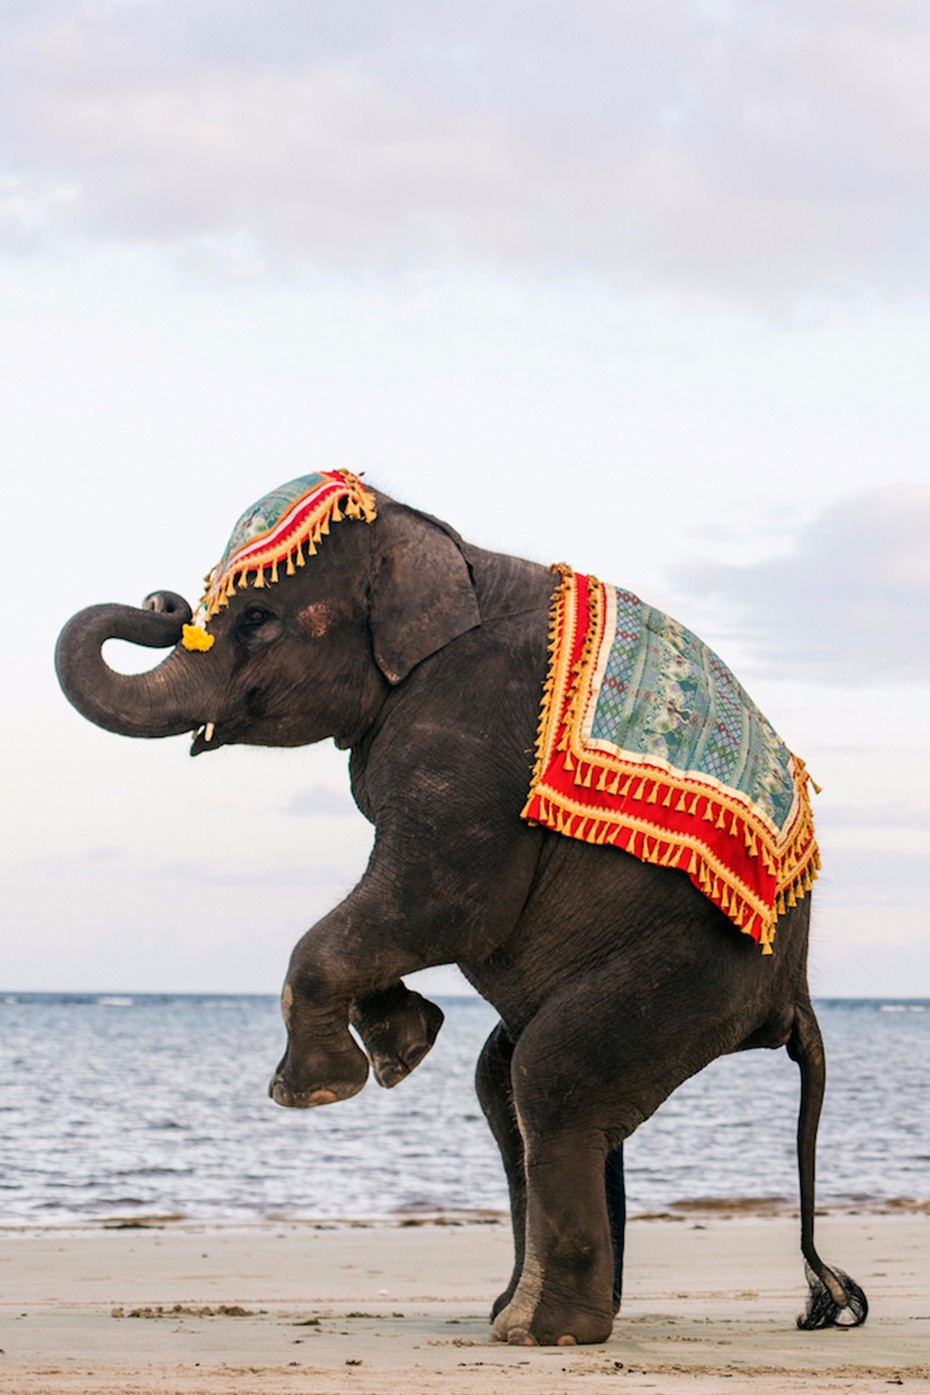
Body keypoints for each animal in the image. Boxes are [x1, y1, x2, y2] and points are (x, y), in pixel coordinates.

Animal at [55, 472, 867, 1347]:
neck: (446, 549)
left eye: (255, 617)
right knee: (510, 1088)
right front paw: (405, 1043)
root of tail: (795, 996)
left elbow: (450, 898)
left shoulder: (474, 728)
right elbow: (411, 906)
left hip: (700, 972)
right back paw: (535, 1314)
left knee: (548, 1075)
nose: (162, 600)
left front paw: (322, 1089)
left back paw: (540, 1332)